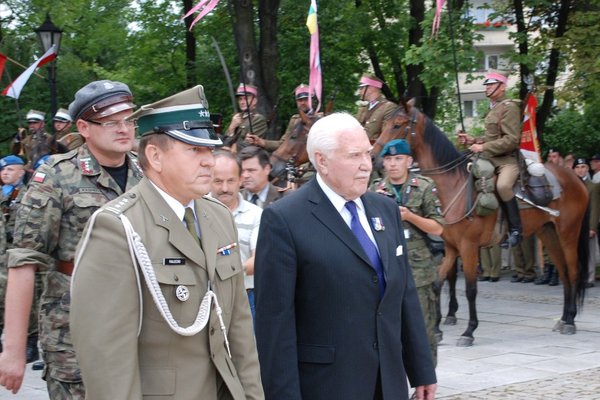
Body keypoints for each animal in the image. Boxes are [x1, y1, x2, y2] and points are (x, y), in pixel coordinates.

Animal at [376, 101, 592, 346]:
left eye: (397, 125)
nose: (376, 157)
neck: (453, 186)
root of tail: (575, 179)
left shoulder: (468, 247)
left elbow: (470, 289)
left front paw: (468, 331)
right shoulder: (451, 247)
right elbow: (438, 282)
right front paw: (437, 328)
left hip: (568, 233)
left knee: (573, 272)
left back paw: (571, 321)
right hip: (548, 234)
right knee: (564, 273)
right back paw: (563, 319)